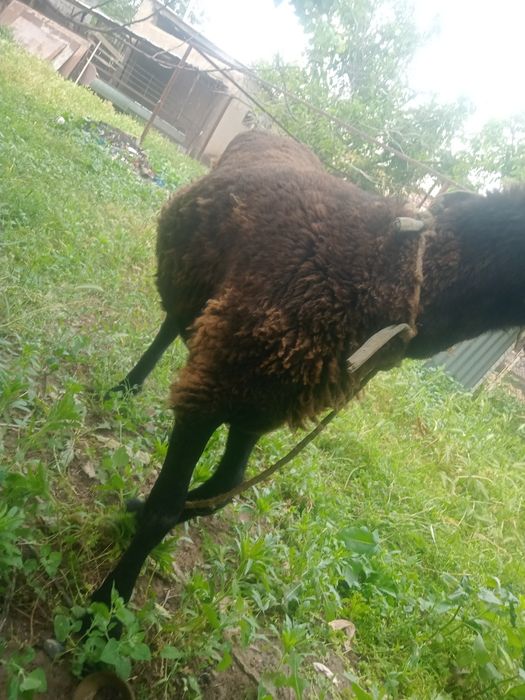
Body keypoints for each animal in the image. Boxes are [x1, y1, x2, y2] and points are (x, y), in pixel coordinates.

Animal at [90, 129, 525, 610]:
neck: (397, 273)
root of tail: (261, 130)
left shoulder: (264, 399)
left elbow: (222, 488)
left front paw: (134, 513)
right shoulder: (215, 384)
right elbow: (164, 509)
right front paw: (105, 603)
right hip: (188, 279)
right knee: (169, 324)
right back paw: (126, 386)